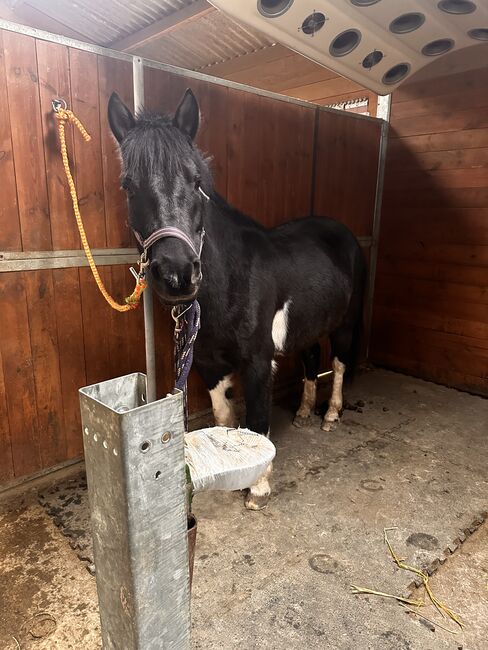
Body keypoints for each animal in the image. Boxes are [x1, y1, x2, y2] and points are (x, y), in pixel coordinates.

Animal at [107, 88, 366, 508]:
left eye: (197, 181)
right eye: (128, 185)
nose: (178, 274)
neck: (232, 280)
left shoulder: (258, 361)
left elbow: (258, 424)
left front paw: (258, 489)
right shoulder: (207, 363)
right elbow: (225, 418)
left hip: (345, 322)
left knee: (340, 364)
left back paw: (330, 415)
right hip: (308, 325)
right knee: (312, 359)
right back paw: (304, 412)